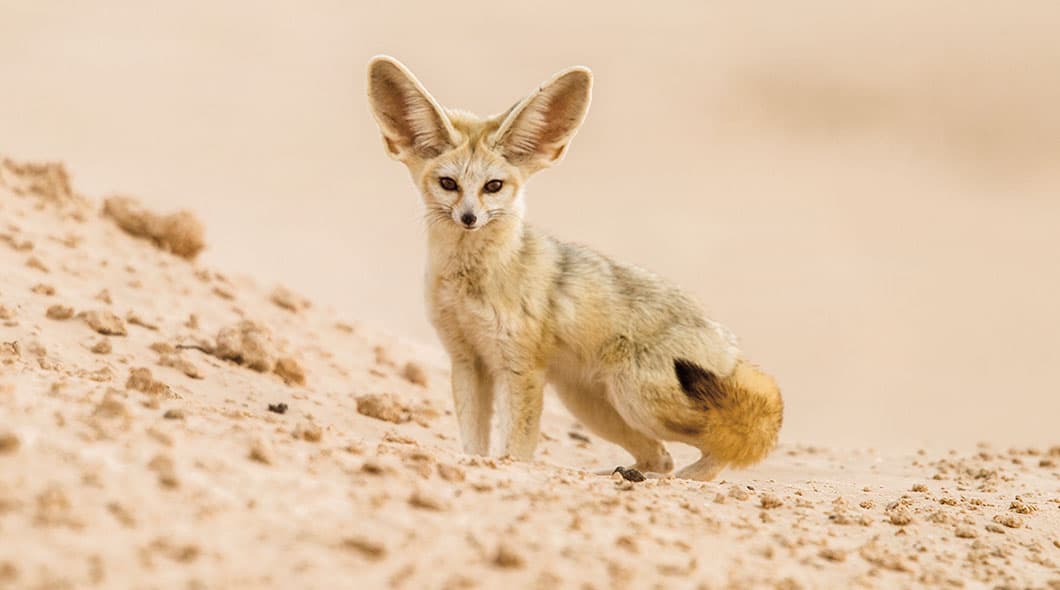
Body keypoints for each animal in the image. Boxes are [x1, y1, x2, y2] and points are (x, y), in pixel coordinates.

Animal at [365, 56, 783, 481]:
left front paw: (511, 467)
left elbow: (517, 446)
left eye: (493, 186)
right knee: (660, 455)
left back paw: (679, 479)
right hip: (592, 406)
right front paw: (474, 463)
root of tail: (730, 347)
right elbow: (472, 441)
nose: (469, 218)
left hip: (638, 400)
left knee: (727, 442)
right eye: (448, 183)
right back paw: (620, 474)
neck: (472, 281)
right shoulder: (467, 360)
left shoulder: (520, 366)